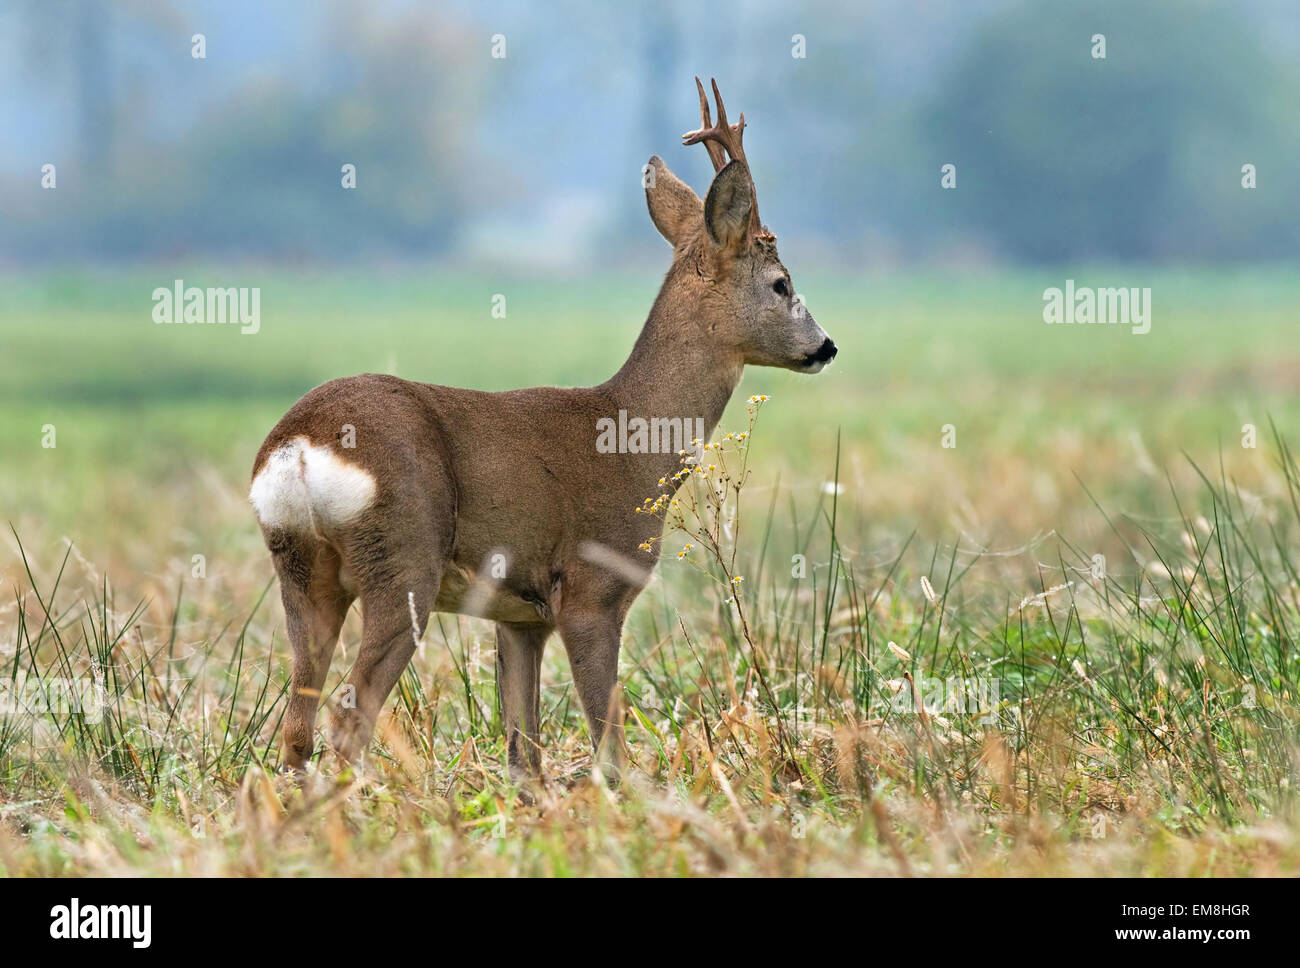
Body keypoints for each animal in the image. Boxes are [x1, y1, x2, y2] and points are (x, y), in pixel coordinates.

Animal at [248, 78, 837, 786]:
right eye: (781, 283)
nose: (826, 346)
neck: (630, 439)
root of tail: (300, 447)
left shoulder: (519, 616)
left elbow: (523, 757)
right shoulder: (592, 590)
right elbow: (610, 747)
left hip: (303, 573)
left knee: (296, 725)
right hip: (404, 563)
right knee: (346, 718)